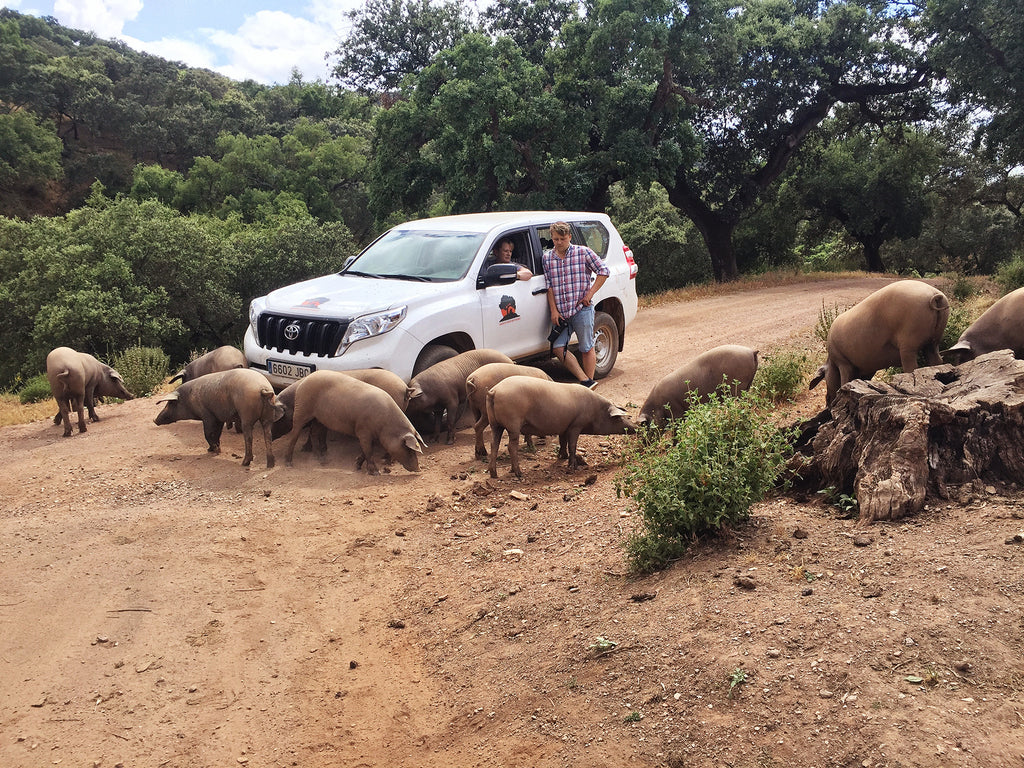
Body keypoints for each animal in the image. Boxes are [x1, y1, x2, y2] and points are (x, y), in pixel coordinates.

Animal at [151, 368, 282, 468]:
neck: (189, 399)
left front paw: (215, 450)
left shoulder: (207, 415)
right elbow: (217, 433)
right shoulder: (218, 417)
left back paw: (244, 463)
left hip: (246, 415)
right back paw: (270, 464)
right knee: (268, 435)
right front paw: (213, 449)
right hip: (267, 416)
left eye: (170, 403)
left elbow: (208, 433)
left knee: (249, 437)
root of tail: (263, 388)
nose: (155, 420)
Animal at [280, 370, 423, 475]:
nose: (418, 469)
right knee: (295, 434)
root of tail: (304, 381)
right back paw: (289, 464)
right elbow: (368, 450)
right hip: (302, 410)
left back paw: (321, 461)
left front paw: (357, 466)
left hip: (318, 418)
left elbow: (366, 450)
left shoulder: (371, 435)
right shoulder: (363, 431)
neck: (385, 425)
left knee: (314, 433)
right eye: (409, 449)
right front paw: (375, 473)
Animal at [483, 376, 634, 479]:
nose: (634, 427)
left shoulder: (564, 426)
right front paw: (573, 467)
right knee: (510, 446)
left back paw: (493, 474)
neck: (595, 411)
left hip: (495, 424)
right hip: (513, 424)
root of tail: (493, 391)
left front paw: (562, 456)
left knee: (494, 444)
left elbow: (563, 442)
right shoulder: (576, 425)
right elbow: (572, 445)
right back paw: (518, 473)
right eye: (618, 418)